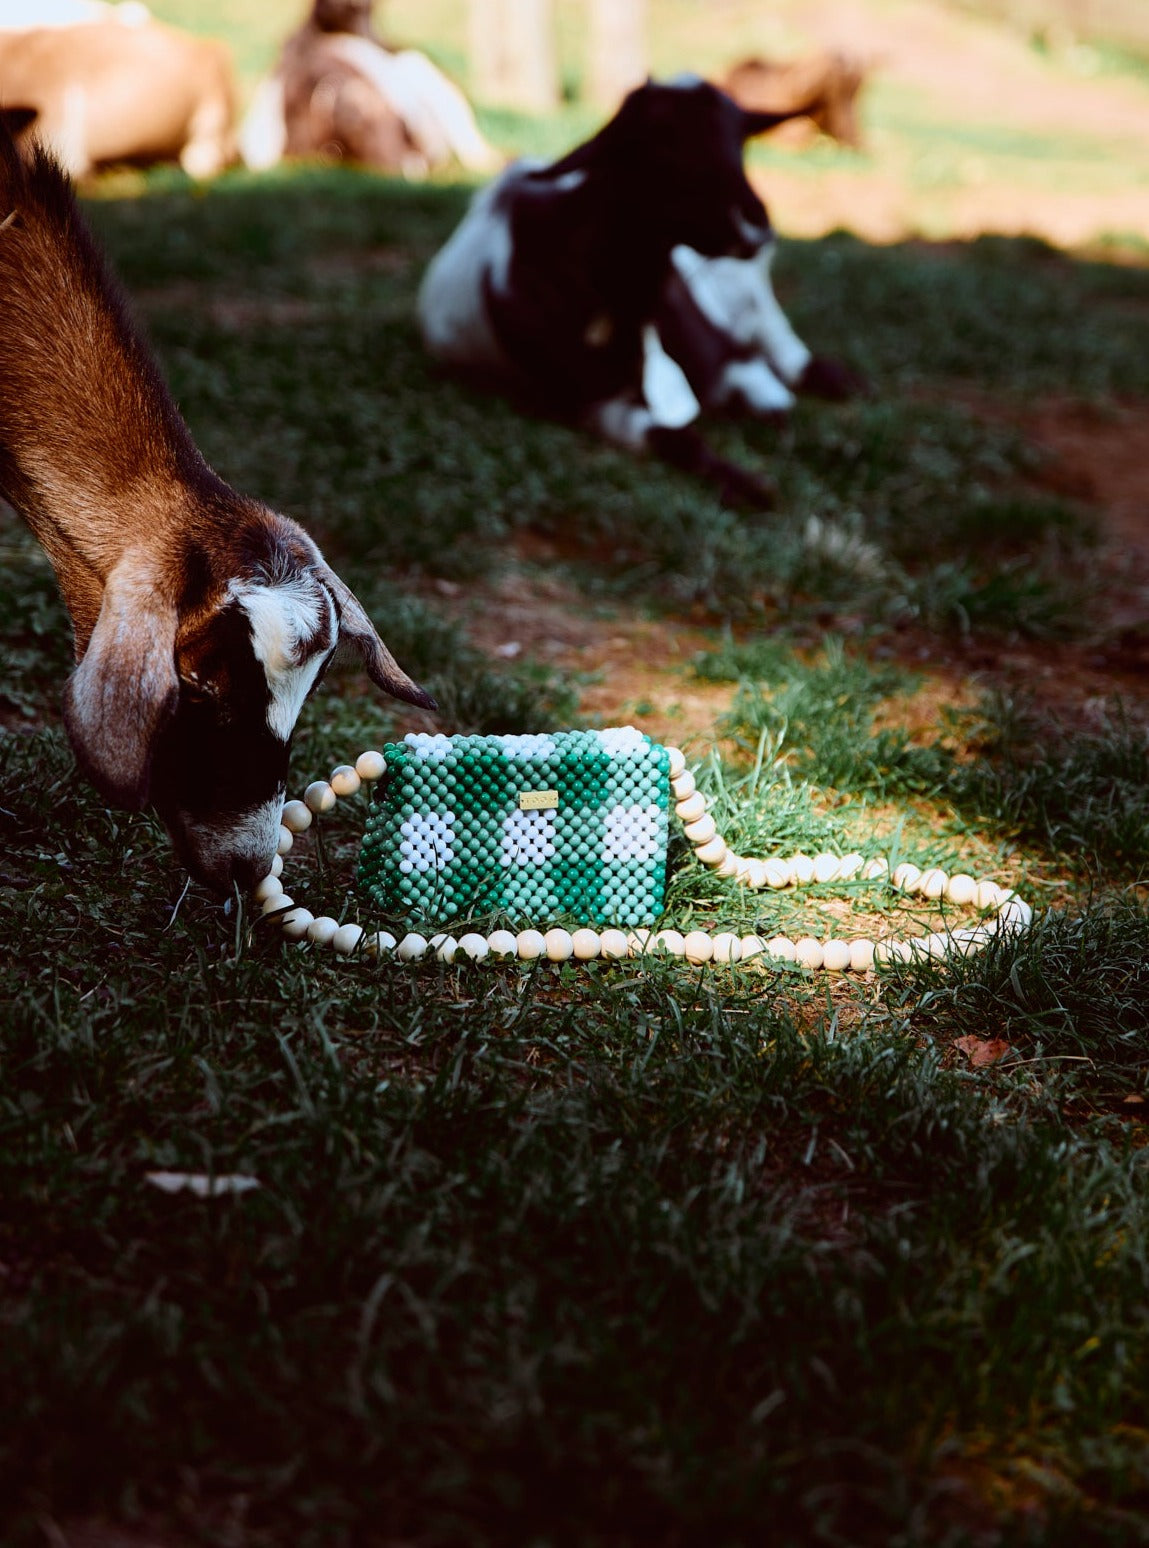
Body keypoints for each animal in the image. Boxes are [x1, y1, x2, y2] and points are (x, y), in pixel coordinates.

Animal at [418, 77, 860, 501]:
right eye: (661, 140)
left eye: (740, 142)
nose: (755, 222)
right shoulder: (596, 403)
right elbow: (678, 437)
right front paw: (748, 483)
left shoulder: (732, 358)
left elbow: (777, 401)